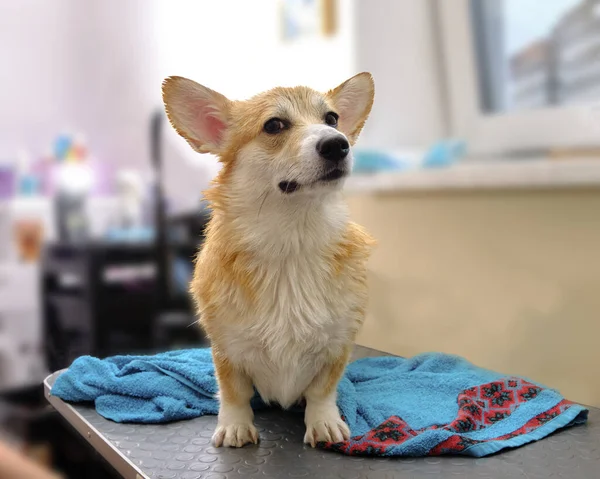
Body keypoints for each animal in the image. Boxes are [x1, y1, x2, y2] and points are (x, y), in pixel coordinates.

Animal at [162, 73, 372, 448]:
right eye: (274, 125)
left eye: (332, 119)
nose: (338, 144)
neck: (292, 239)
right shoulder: (226, 348)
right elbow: (233, 392)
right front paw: (235, 425)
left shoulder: (337, 346)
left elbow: (322, 391)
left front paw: (323, 421)